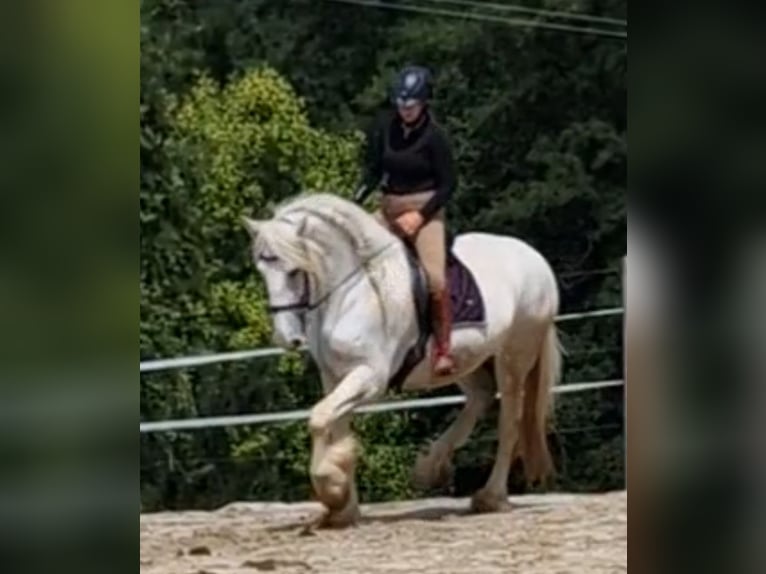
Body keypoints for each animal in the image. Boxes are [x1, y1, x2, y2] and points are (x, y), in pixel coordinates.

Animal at [246, 194, 564, 532]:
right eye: (262, 271)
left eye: (294, 271)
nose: (287, 338)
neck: (351, 293)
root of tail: (535, 258)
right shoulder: (335, 377)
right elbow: (336, 428)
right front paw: (343, 508)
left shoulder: (369, 378)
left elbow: (319, 418)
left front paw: (332, 489)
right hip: (467, 358)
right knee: (481, 396)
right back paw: (430, 467)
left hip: (513, 357)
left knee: (509, 422)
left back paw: (490, 497)